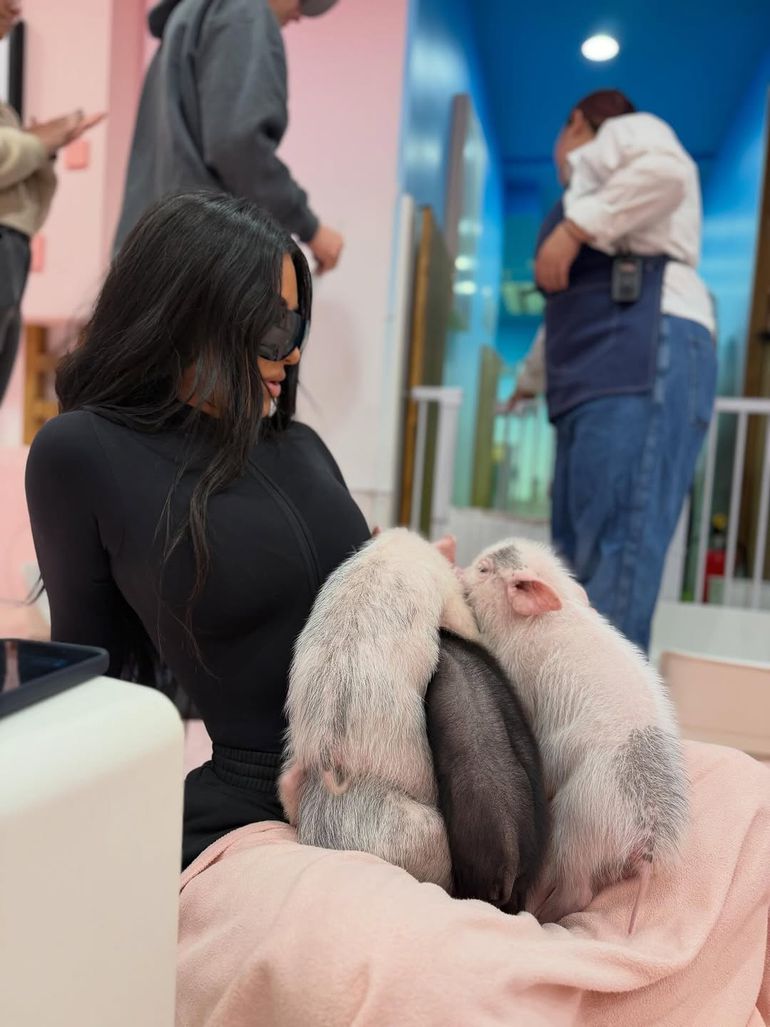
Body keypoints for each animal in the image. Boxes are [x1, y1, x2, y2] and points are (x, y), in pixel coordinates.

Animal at [461, 537, 689, 932]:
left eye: (484, 569)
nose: (457, 570)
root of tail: (647, 840)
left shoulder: (520, 676)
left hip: (577, 824)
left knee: (577, 893)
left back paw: (541, 917)